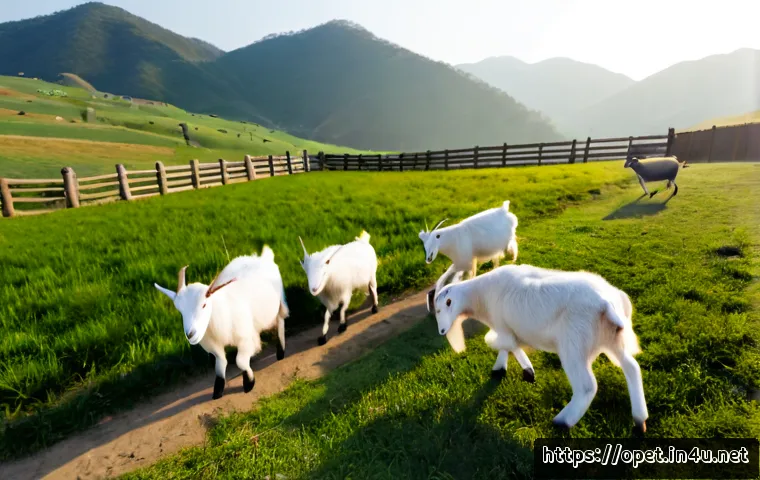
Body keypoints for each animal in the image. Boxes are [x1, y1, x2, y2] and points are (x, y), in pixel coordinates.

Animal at [154, 246, 288, 400]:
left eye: (204, 304)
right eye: (179, 310)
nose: (190, 334)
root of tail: (261, 257)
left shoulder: (245, 339)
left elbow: (240, 361)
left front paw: (248, 383)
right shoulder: (214, 346)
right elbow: (220, 364)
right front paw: (218, 390)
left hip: (279, 304)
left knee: (280, 322)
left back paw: (280, 352)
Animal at [431, 263, 647, 434]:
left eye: (441, 308)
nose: (441, 331)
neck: (479, 297)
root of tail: (607, 301)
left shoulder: (502, 325)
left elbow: (501, 342)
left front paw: (522, 367)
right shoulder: (505, 326)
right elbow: (507, 345)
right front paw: (508, 369)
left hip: (574, 343)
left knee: (587, 386)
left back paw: (563, 421)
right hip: (612, 339)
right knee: (632, 367)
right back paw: (640, 420)